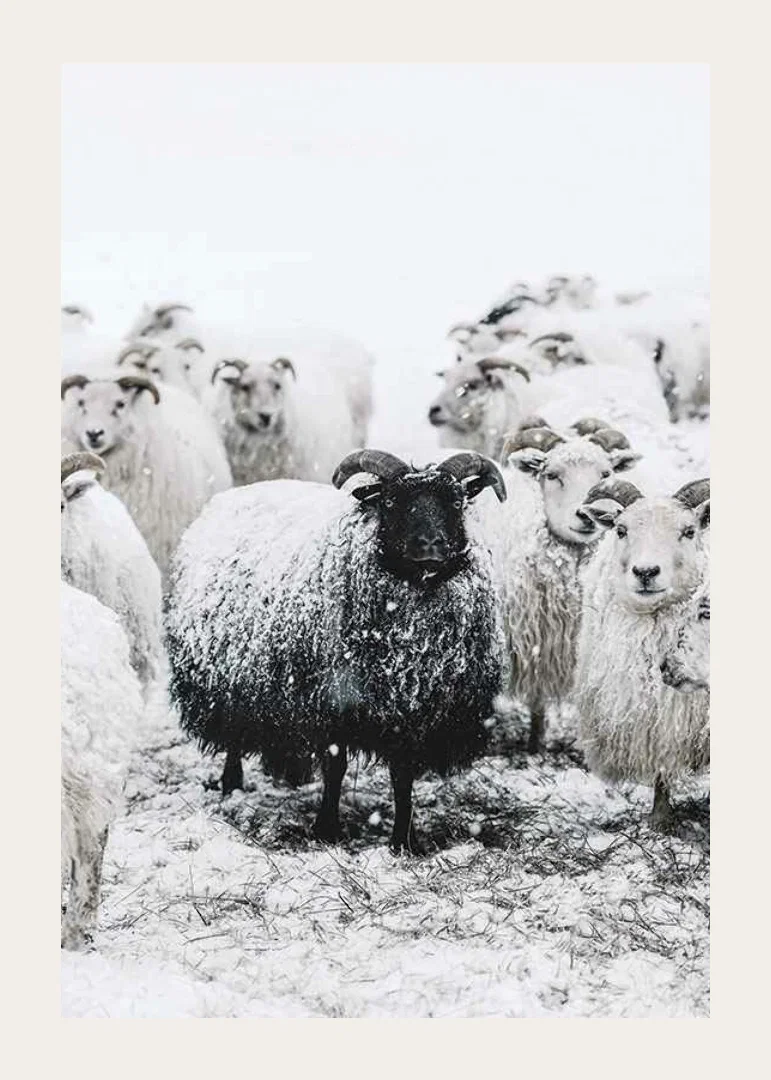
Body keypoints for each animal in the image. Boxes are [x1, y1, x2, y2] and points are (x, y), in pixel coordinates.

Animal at [165, 449, 507, 853]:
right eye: (390, 502)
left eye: (456, 501)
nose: (431, 545)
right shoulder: (331, 702)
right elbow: (335, 767)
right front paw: (327, 829)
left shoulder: (413, 712)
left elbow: (402, 775)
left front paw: (404, 841)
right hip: (229, 680)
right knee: (234, 736)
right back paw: (232, 785)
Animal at [485, 420, 642, 751]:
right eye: (552, 475)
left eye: (605, 474)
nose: (585, 515)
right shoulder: (536, 642)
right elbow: (537, 702)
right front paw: (534, 744)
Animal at [573, 478, 710, 829]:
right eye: (620, 530)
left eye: (689, 531)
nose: (646, 572)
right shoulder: (654, 716)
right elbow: (661, 766)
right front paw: (659, 820)